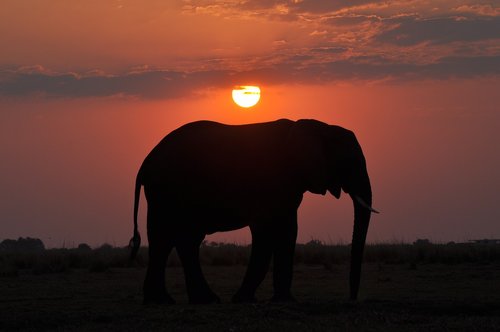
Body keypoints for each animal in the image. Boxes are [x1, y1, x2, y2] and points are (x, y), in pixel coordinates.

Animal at [127, 118, 376, 304]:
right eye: (350, 161)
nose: (352, 298)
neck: (318, 126)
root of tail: (145, 163)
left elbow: (288, 232)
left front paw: (284, 300)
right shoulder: (270, 181)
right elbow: (265, 232)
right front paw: (244, 299)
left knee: (174, 239)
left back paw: (180, 300)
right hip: (167, 191)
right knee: (171, 237)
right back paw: (182, 300)